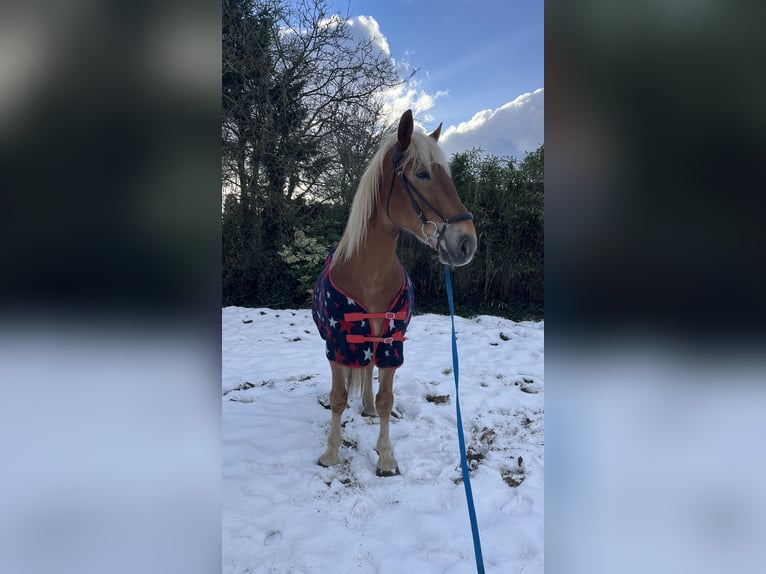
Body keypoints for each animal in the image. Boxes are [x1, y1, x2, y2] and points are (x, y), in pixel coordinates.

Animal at [312, 109, 477, 476]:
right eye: (422, 173)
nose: (466, 243)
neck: (369, 274)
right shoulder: (338, 343)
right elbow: (339, 396)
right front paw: (330, 453)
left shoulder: (391, 342)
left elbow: (386, 398)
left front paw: (386, 457)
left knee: (369, 372)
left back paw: (368, 407)